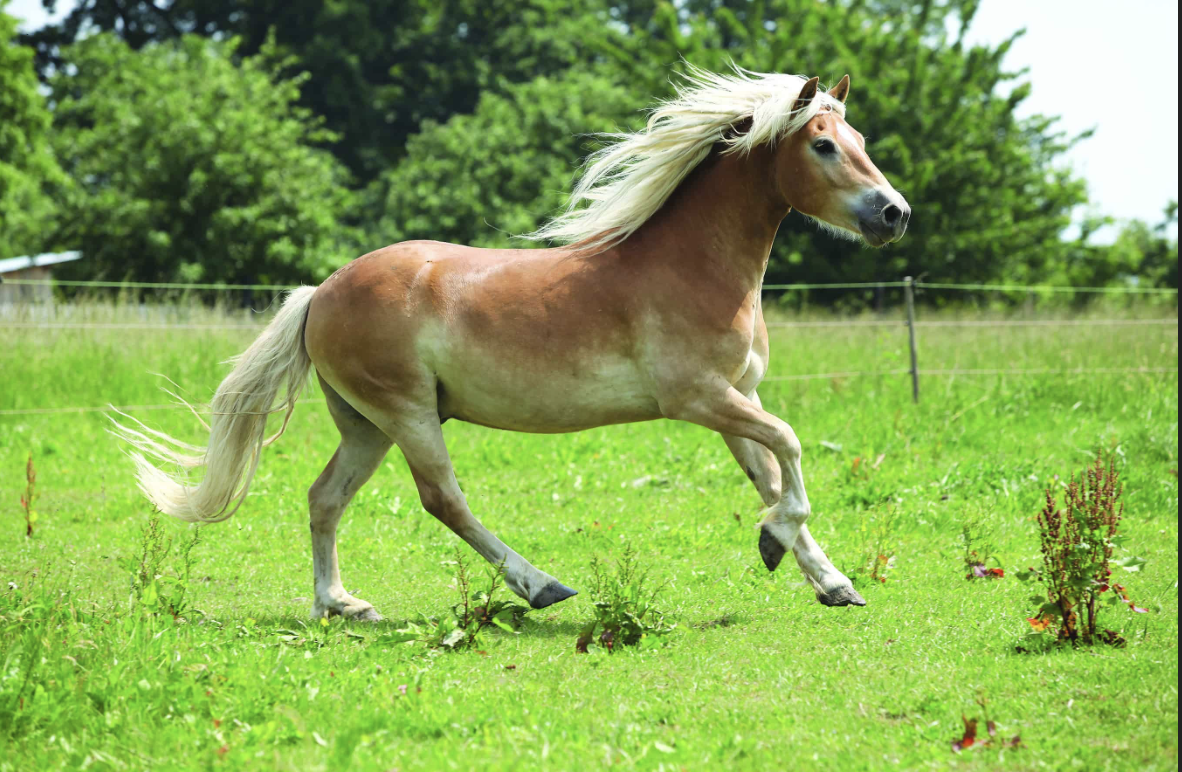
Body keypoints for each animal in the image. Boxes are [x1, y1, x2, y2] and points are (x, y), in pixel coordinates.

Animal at [112, 66, 910, 620]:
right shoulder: (699, 398)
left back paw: (338, 605)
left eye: (862, 143)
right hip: (407, 414)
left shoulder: (737, 397)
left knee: (324, 498)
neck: (695, 264)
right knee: (443, 499)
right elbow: (792, 451)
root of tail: (321, 293)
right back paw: (540, 585)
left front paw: (828, 580)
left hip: (366, 425)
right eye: (824, 145)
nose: (894, 214)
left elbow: (771, 475)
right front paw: (779, 543)